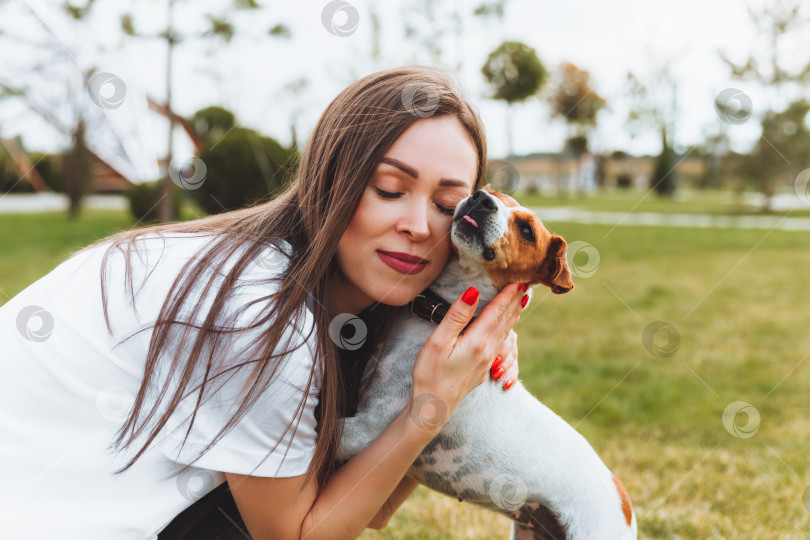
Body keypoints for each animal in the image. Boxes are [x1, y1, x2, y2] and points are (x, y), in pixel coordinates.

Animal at [338, 184, 636, 536]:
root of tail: (623, 499)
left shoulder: (369, 430)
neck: (437, 317)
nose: (481, 198)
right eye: (489, 190)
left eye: (527, 231)